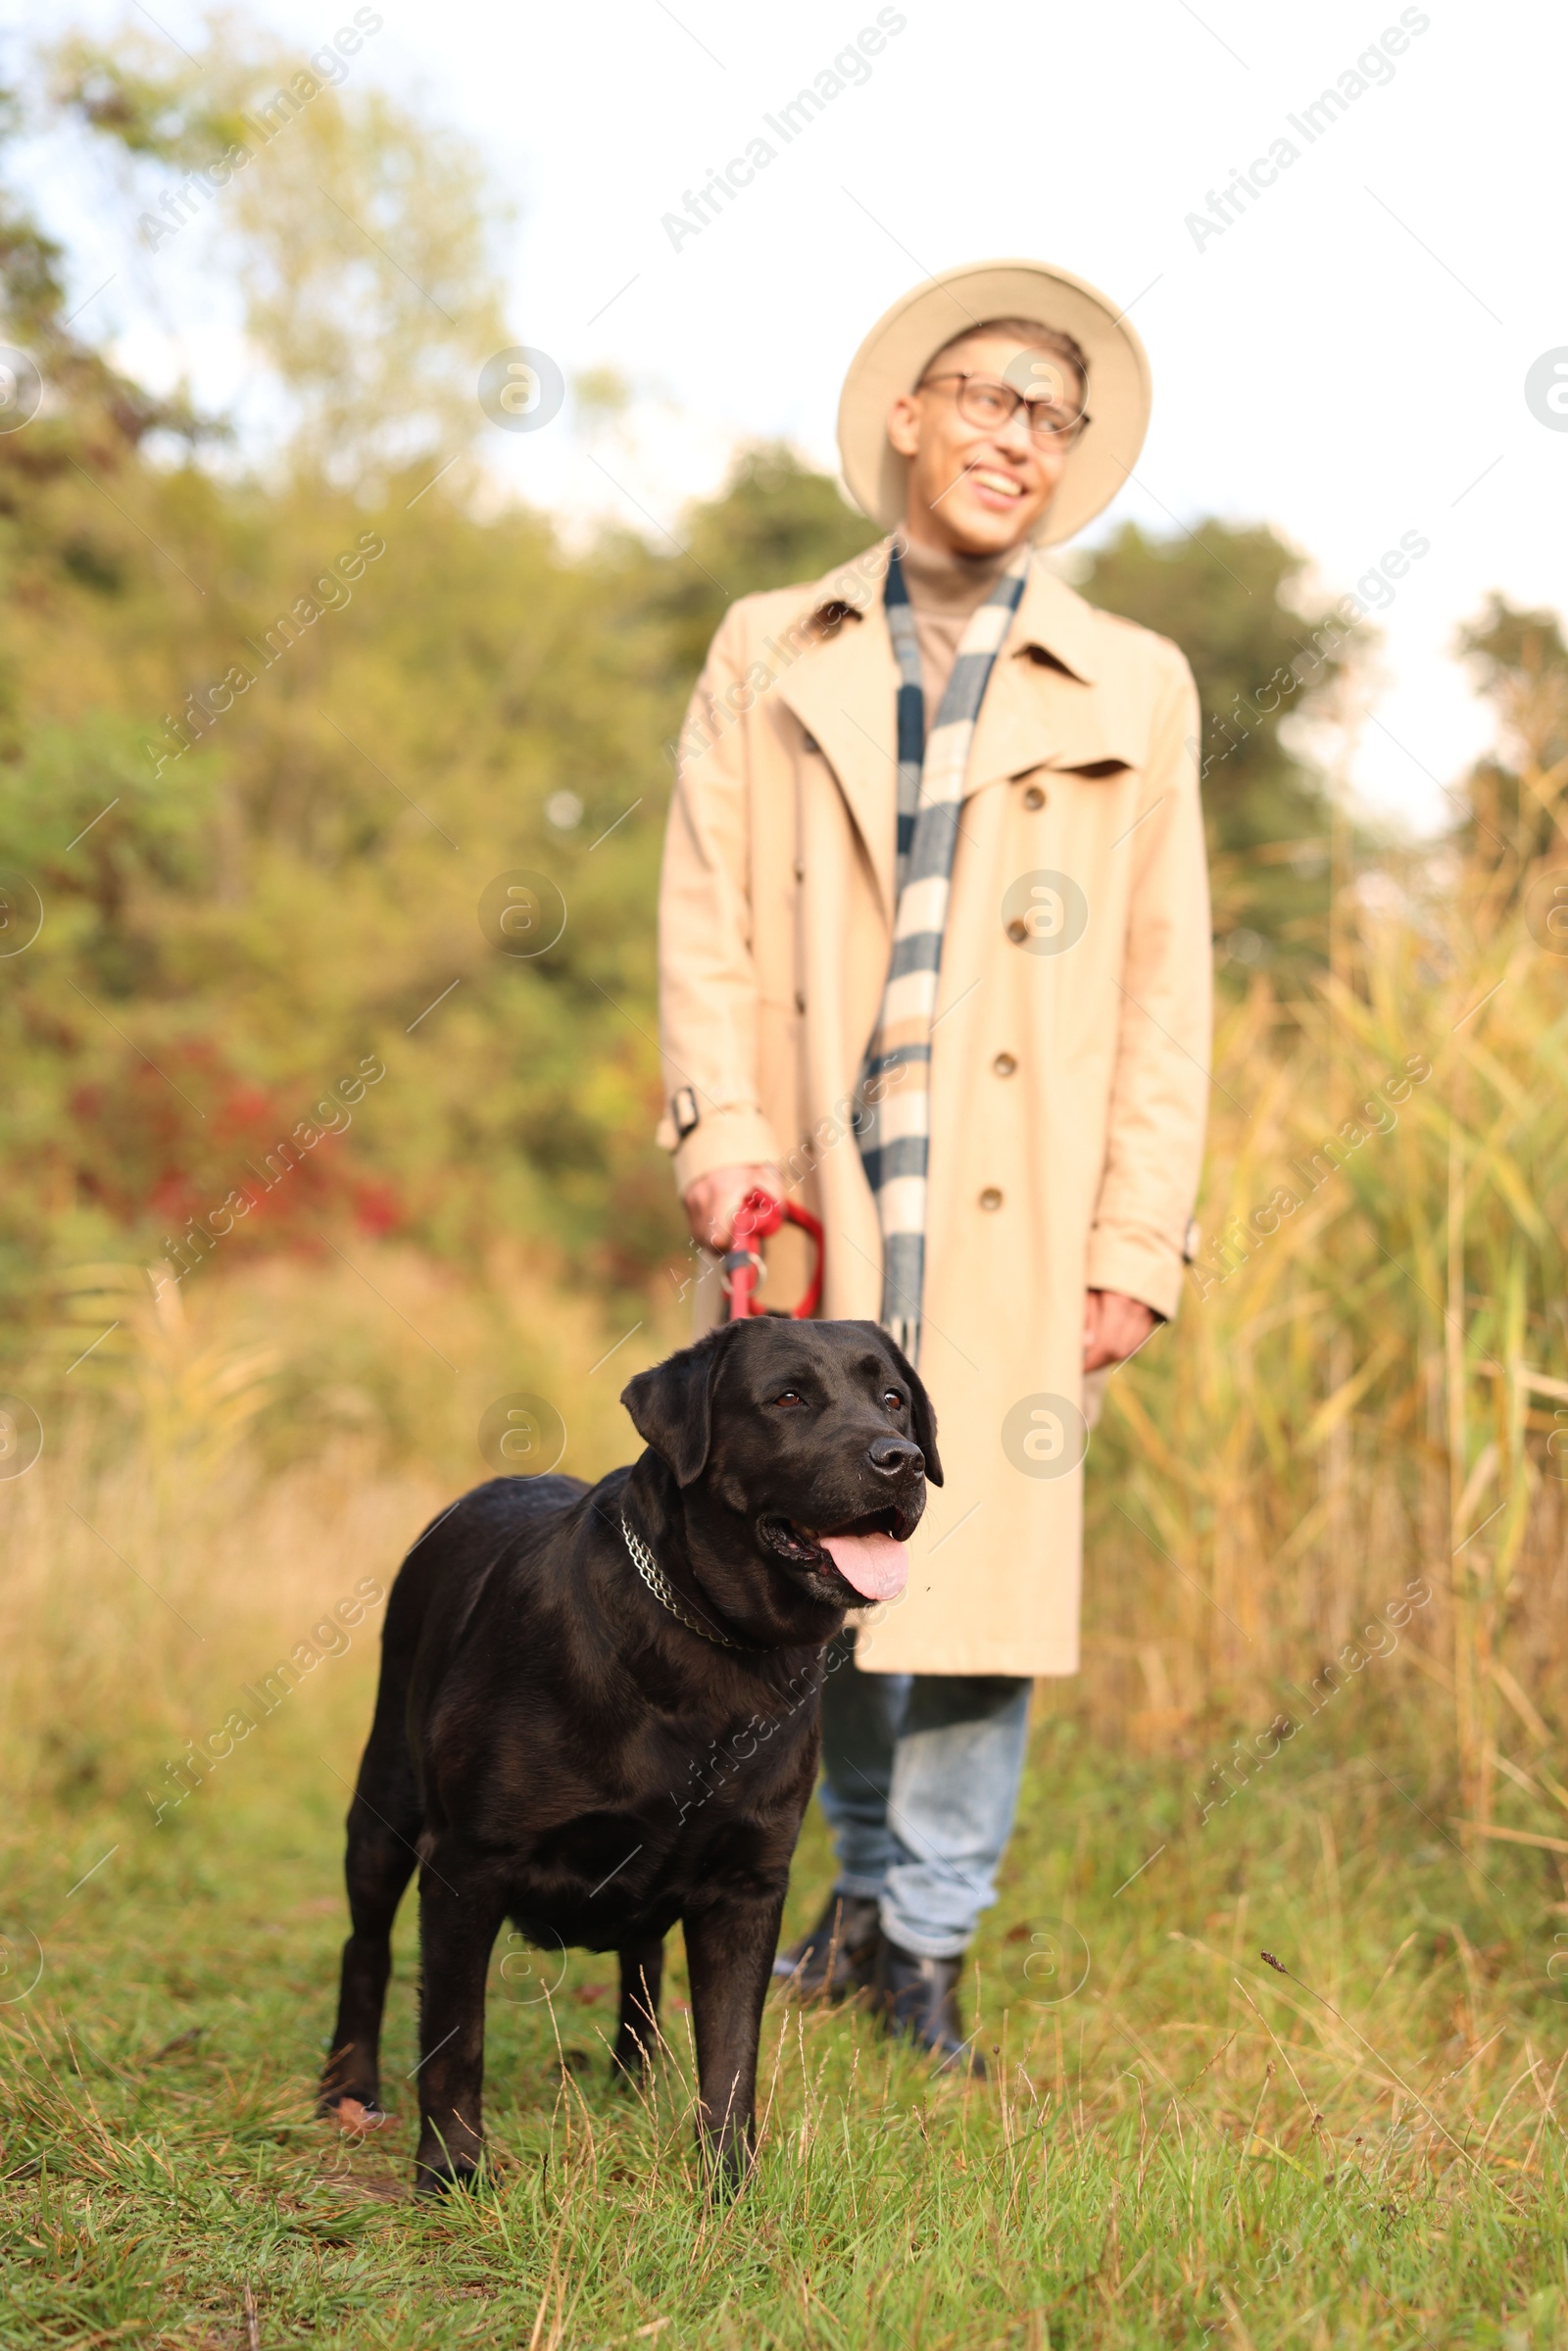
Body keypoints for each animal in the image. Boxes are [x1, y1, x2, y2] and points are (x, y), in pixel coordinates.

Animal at [317, 1316, 930, 2190]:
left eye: (894, 1399)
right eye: (787, 1398)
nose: (899, 1458)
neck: (714, 1646)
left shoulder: (748, 1883)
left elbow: (732, 2052)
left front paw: (728, 2182)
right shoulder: (468, 1862)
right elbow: (455, 2034)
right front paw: (453, 2169)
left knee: (641, 1965)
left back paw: (632, 2085)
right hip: (386, 1803)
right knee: (363, 1943)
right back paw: (349, 2088)